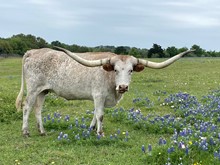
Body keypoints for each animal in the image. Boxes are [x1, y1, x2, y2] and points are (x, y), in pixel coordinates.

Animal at [15, 46, 193, 137]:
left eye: (131, 70)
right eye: (115, 69)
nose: (123, 87)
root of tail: (33, 51)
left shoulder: (99, 98)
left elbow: (95, 113)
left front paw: (92, 129)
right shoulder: (98, 95)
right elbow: (100, 114)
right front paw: (100, 132)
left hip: (43, 91)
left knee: (38, 109)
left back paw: (42, 131)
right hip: (33, 89)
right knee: (27, 107)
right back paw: (25, 132)